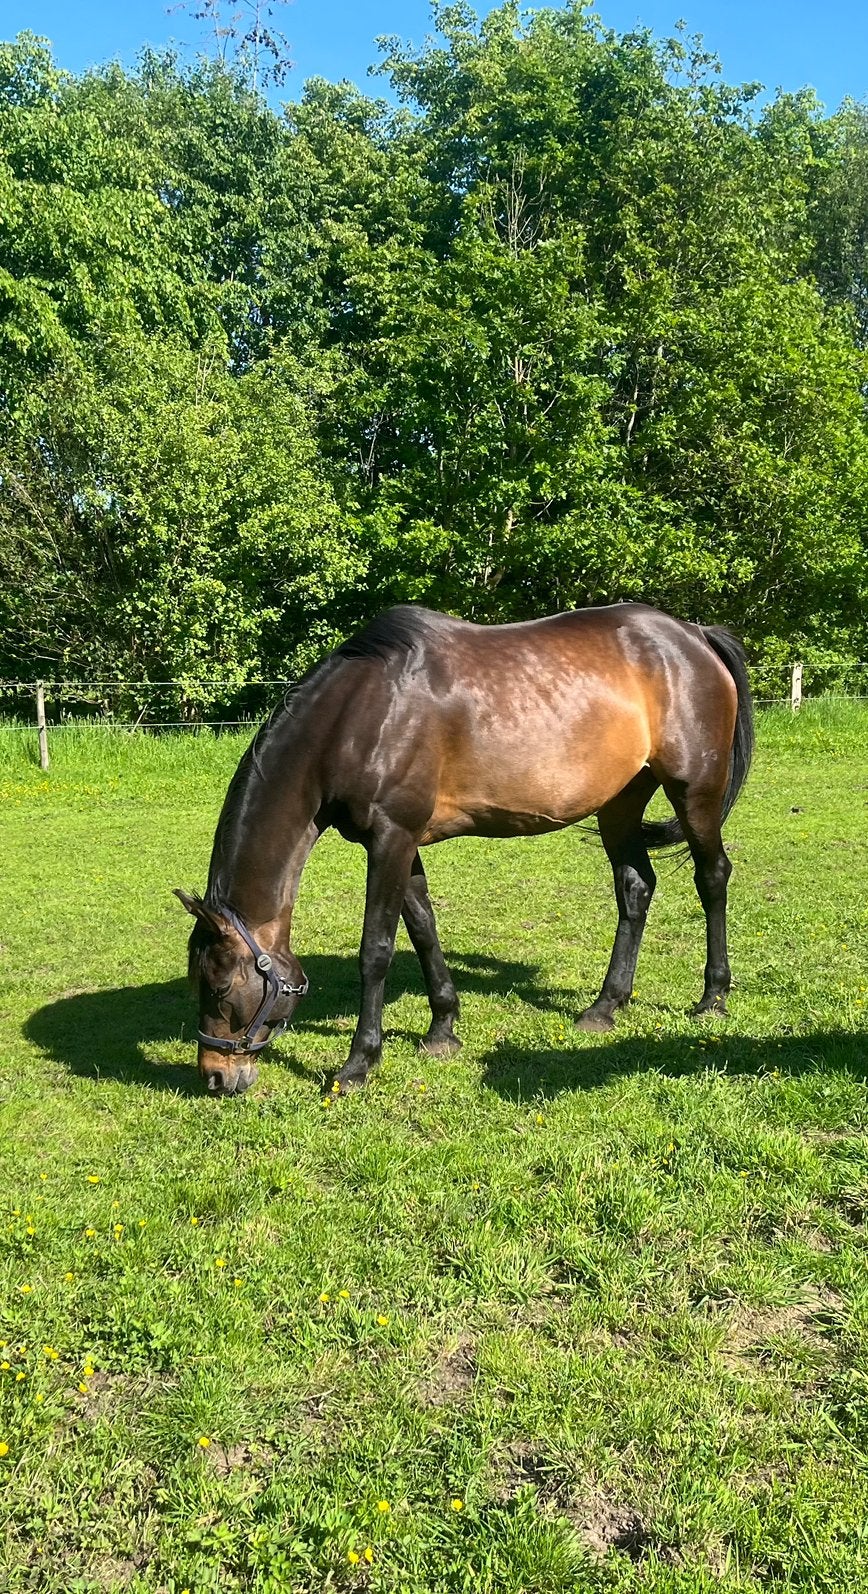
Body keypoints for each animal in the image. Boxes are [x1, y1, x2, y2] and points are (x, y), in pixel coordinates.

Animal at [176, 602, 754, 1097]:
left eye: (220, 988)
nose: (216, 1076)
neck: (361, 714)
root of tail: (694, 635)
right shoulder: (402, 841)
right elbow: (423, 930)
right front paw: (442, 1029)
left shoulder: (390, 837)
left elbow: (377, 950)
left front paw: (360, 1062)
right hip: (620, 803)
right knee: (636, 888)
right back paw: (605, 1006)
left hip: (695, 792)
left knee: (712, 877)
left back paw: (712, 997)